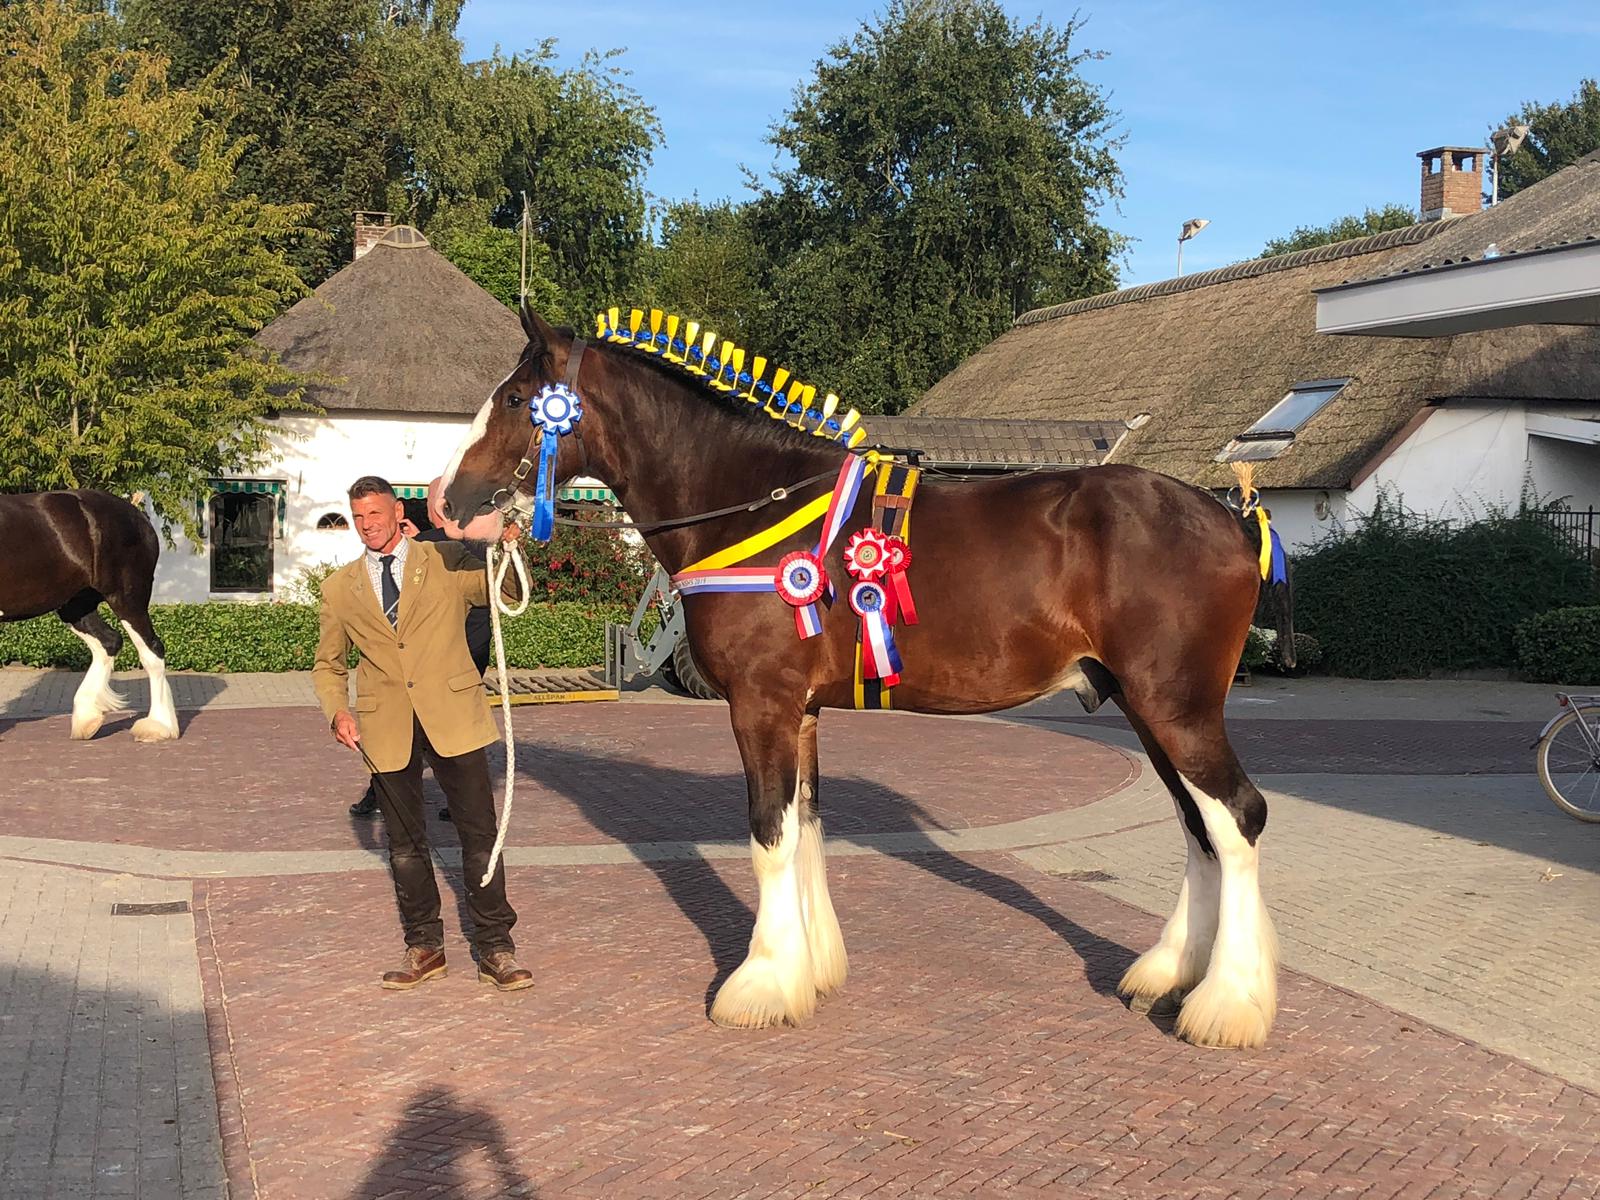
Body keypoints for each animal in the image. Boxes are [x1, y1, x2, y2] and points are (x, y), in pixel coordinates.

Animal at [0, 489, 178, 742]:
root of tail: (136, 514)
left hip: (126, 598)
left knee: (151, 651)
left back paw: (157, 726)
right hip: (76, 605)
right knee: (109, 642)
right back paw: (87, 719)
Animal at [438, 312, 1273, 1049]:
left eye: (516, 398)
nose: (447, 500)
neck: (743, 505)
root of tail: (1231, 519)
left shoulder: (762, 706)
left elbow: (770, 835)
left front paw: (759, 985)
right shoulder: (802, 712)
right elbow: (805, 825)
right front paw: (808, 971)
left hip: (1176, 708)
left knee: (1237, 818)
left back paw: (1227, 1006)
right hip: (1147, 708)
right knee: (1199, 828)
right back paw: (1169, 976)